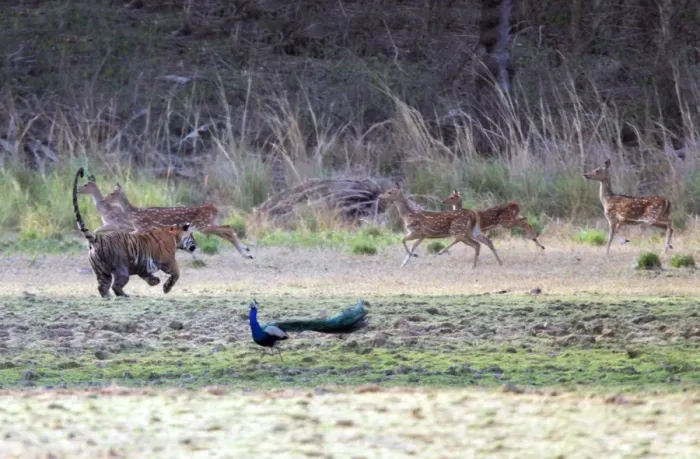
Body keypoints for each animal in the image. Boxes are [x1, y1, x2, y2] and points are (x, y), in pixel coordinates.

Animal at [72, 167, 197, 297]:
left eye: (86, 185)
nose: (196, 245)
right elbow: (175, 273)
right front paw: (164, 286)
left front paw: (158, 282)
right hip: (116, 269)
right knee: (112, 286)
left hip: (107, 270)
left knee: (106, 286)